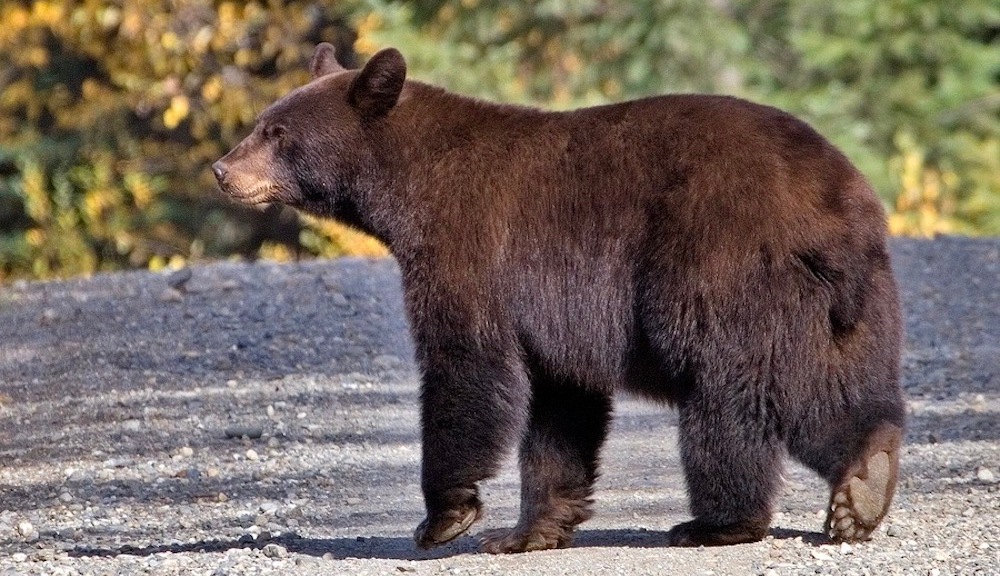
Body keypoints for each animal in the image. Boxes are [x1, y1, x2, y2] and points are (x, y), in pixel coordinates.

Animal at [213, 43, 906, 553]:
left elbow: (466, 366)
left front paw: (444, 518)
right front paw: (529, 530)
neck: (406, 189)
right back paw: (864, 484)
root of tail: (834, 203)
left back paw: (718, 522)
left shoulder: (470, 249)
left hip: (720, 268)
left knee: (731, 392)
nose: (223, 170)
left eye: (276, 132)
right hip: (851, 303)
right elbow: (560, 407)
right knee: (835, 383)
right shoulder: (556, 313)